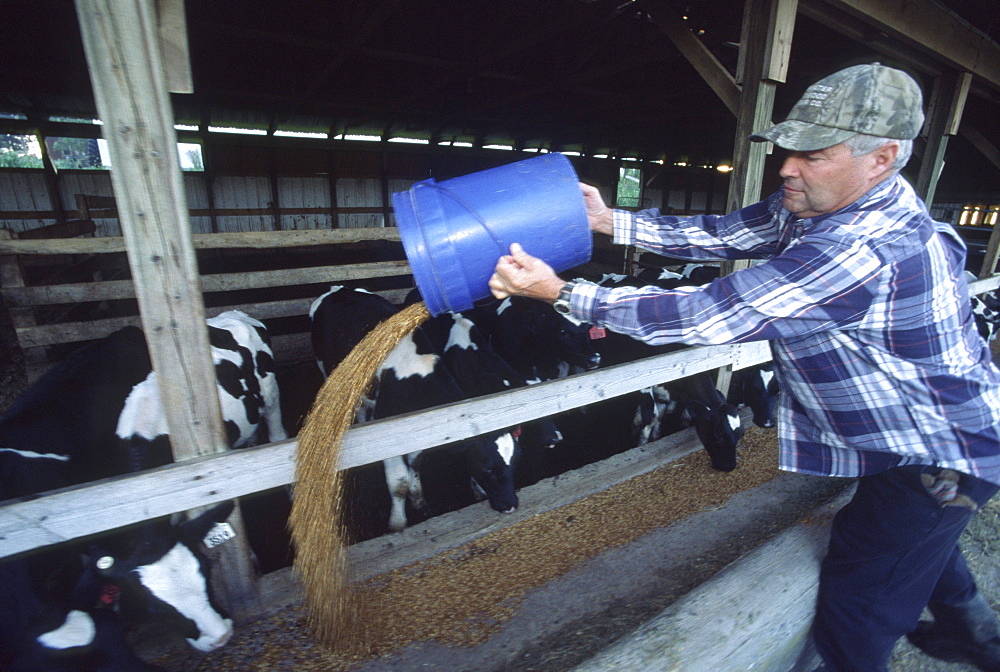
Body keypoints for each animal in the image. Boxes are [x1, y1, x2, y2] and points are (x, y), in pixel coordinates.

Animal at [312, 286, 524, 532]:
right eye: (487, 468)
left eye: (516, 462)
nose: (511, 505)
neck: (416, 377)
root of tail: (339, 288)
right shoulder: (388, 433)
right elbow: (398, 483)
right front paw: (397, 523)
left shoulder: (419, 429)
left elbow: (415, 463)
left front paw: (419, 501)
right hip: (326, 371)